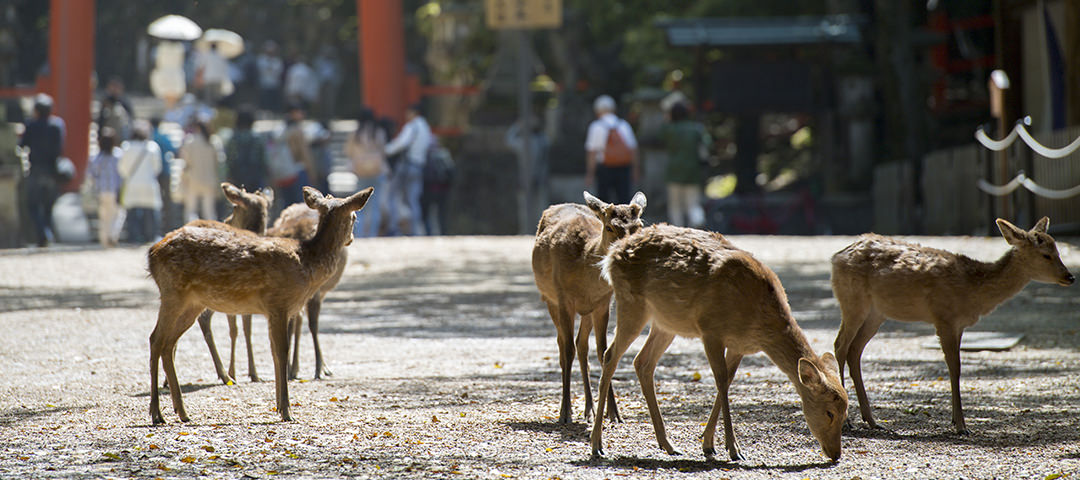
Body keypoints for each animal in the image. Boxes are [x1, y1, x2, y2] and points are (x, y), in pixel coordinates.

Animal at [531, 191, 646, 424]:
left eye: (639, 226)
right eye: (610, 227)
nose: (630, 251)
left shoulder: (603, 303)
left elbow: (603, 351)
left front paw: (614, 413)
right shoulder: (563, 298)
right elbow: (567, 350)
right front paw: (565, 413)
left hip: (587, 311)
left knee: (582, 344)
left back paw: (590, 410)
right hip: (550, 300)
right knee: (563, 345)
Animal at [592, 224, 848, 462]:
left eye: (846, 412)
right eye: (829, 413)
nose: (836, 454)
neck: (758, 321)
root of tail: (611, 255)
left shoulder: (738, 345)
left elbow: (727, 381)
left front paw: (708, 445)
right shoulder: (710, 330)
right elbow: (722, 381)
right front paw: (734, 449)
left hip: (665, 323)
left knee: (642, 362)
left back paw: (669, 445)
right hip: (631, 304)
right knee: (609, 356)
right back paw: (597, 445)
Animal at [831, 217, 1074, 435]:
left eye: (1058, 251)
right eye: (1046, 255)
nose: (1070, 277)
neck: (972, 289)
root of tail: (836, 257)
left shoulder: (959, 325)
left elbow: (956, 366)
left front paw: (957, 422)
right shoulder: (944, 318)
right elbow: (954, 367)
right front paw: (961, 426)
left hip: (876, 313)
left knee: (854, 349)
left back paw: (873, 421)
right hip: (852, 301)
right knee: (840, 345)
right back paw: (846, 421)